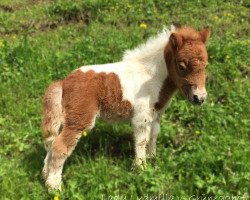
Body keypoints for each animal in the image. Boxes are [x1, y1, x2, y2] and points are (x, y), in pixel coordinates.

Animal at [42, 25, 210, 191]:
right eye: (181, 66)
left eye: (206, 64)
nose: (200, 98)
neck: (151, 77)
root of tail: (64, 82)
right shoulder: (141, 117)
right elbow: (141, 140)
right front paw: (140, 169)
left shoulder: (156, 114)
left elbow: (154, 135)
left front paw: (153, 159)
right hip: (79, 120)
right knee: (59, 146)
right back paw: (54, 187)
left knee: (51, 142)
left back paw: (45, 175)